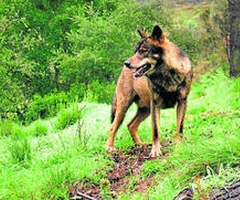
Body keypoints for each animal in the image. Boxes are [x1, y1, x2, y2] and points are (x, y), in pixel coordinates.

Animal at [106, 25, 192, 157]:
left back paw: (141, 145)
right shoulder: (155, 105)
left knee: (131, 125)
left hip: (145, 110)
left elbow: (179, 129)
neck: (167, 75)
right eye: (135, 51)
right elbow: (156, 131)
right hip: (124, 107)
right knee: (113, 127)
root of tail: (122, 71)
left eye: (143, 51)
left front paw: (178, 148)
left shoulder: (182, 102)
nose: (126, 63)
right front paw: (155, 152)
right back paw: (110, 148)